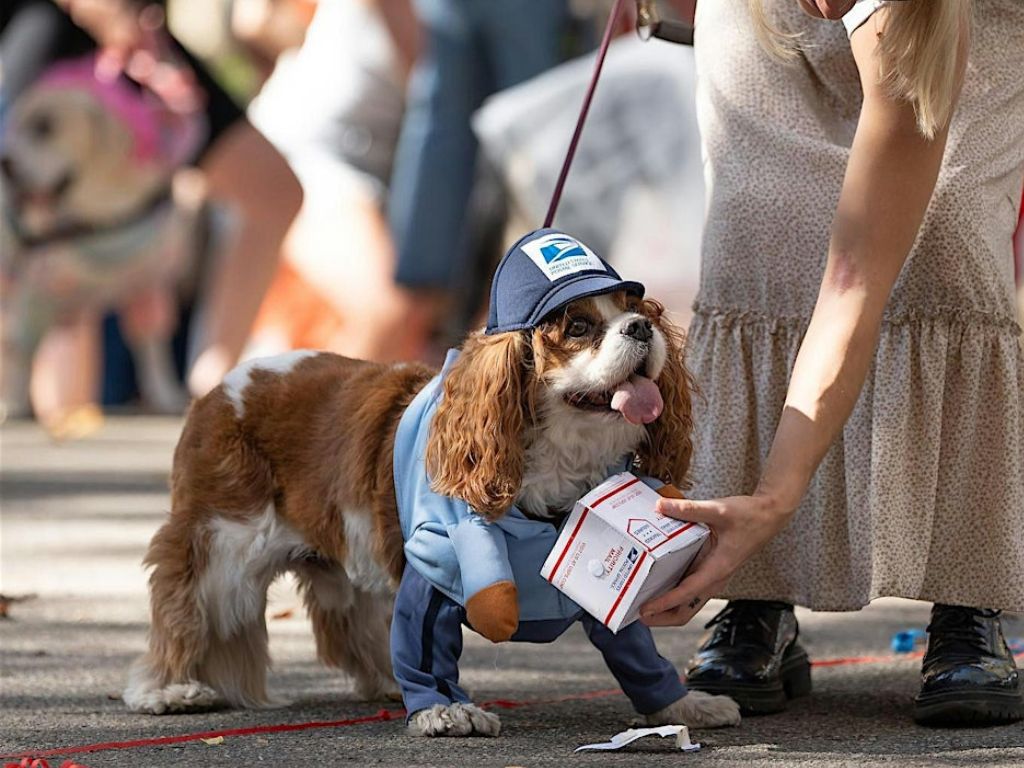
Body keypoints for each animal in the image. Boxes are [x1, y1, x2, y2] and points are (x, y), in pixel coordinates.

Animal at [123, 290, 741, 737]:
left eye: (639, 310)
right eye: (579, 327)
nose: (641, 328)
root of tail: (217, 389)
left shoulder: (596, 576)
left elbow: (635, 649)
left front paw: (682, 706)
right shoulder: (434, 565)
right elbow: (427, 644)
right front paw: (445, 710)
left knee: (352, 625)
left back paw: (384, 682)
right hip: (223, 545)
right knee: (185, 604)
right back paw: (167, 689)